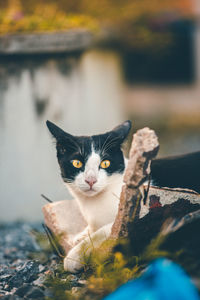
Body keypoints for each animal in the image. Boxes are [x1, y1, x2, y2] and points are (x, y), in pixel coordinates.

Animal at [46, 119, 132, 272]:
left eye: (105, 163)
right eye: (76, 163)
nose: (91, 180)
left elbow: (103, 232)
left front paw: (74, 257)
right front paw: (82, 235)